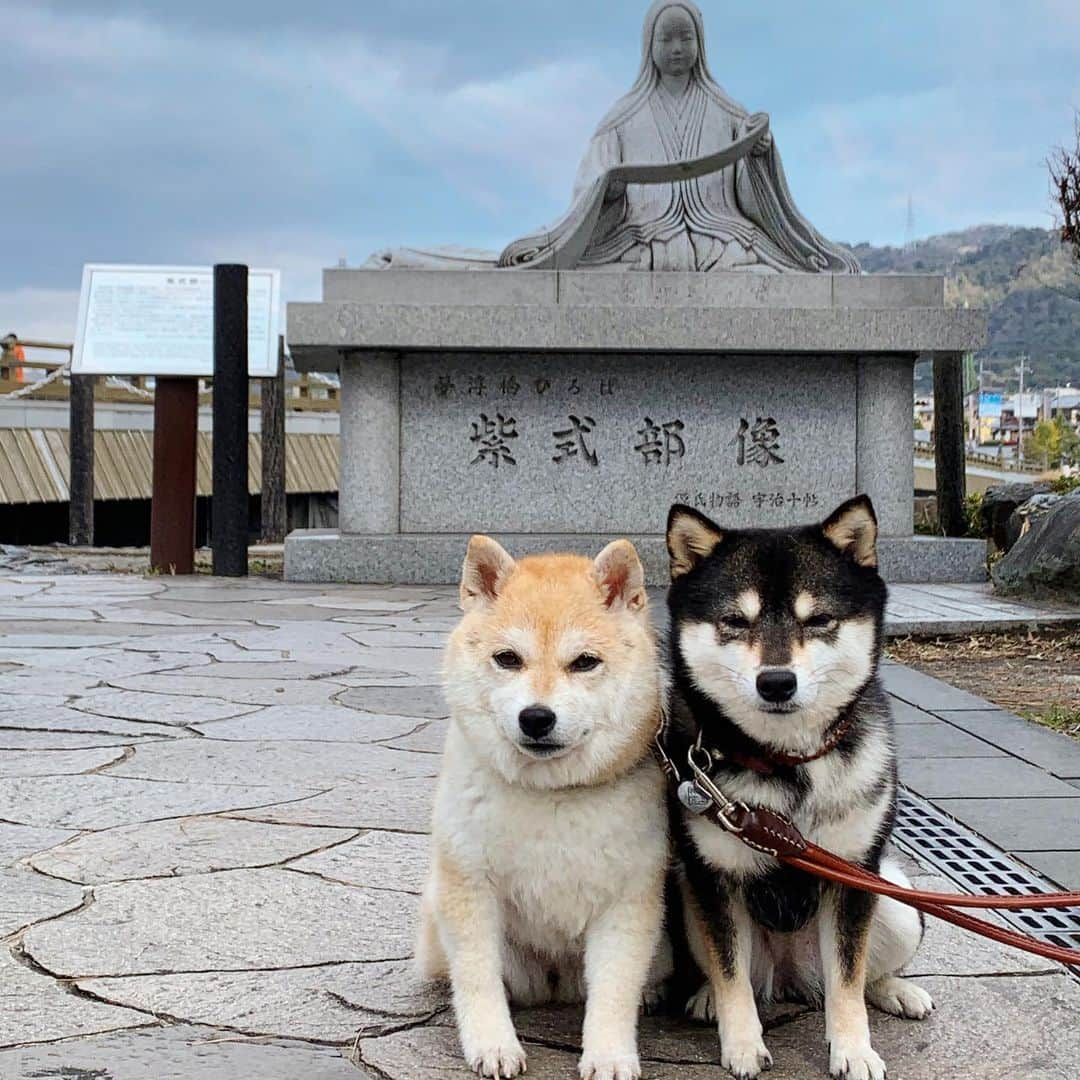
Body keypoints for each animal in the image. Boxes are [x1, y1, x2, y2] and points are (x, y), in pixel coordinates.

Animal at [416, 535, 669, 1080]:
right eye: (508, 658)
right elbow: (477, 979)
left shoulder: (628, 901)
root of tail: (555, 984)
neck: (551, 794)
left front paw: (609, 1054)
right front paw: (492, 1044)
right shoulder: (469, 886)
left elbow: (615, 990)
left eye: (585, 662)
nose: (536, 717)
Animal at [660, 494, 933, 1080]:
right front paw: (741, 1043)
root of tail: (789, 977)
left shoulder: (854, 873)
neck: (787, 766)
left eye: (821, 619)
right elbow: (730, 971)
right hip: (684, 896)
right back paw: (708, 998)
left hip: (897, 902)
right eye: (734, 621)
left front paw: (854, 1050)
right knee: (727, 969)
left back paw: (895, 991)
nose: (777, 681)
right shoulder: (713, 875)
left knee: (858, 975)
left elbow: (848, 981)